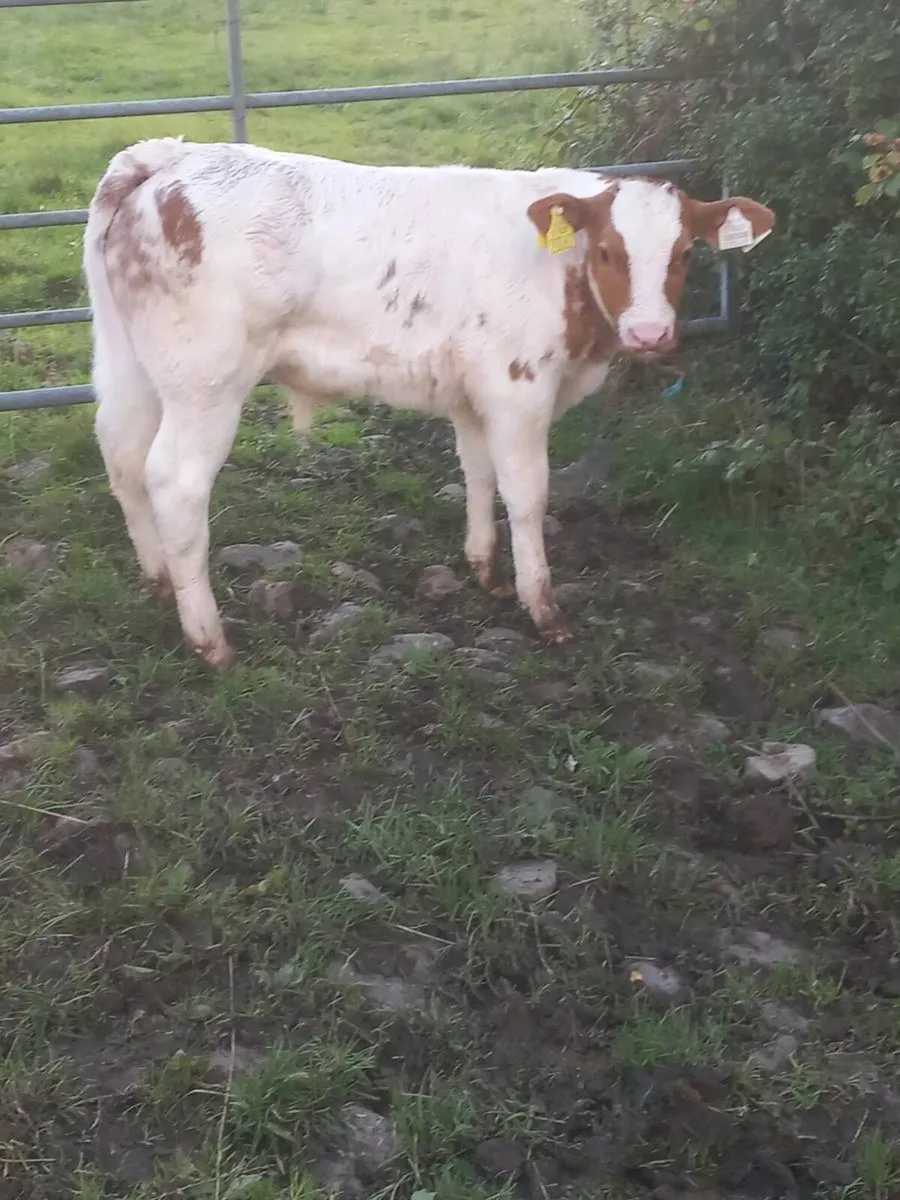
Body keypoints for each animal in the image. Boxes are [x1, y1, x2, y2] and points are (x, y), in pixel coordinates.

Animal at [83, 137, 774, 668]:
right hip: (207, 385)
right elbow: (528, 496)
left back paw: (158, 581)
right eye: (608, 251)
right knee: (174, 482)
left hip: (135, 369)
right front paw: (543, 608)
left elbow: (478, 473)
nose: (651, 333)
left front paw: (486, 570)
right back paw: (210, 640)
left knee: (122, 456)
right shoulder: (518, 388)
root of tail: (171, 157)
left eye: (684, 254)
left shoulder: (473, 395)